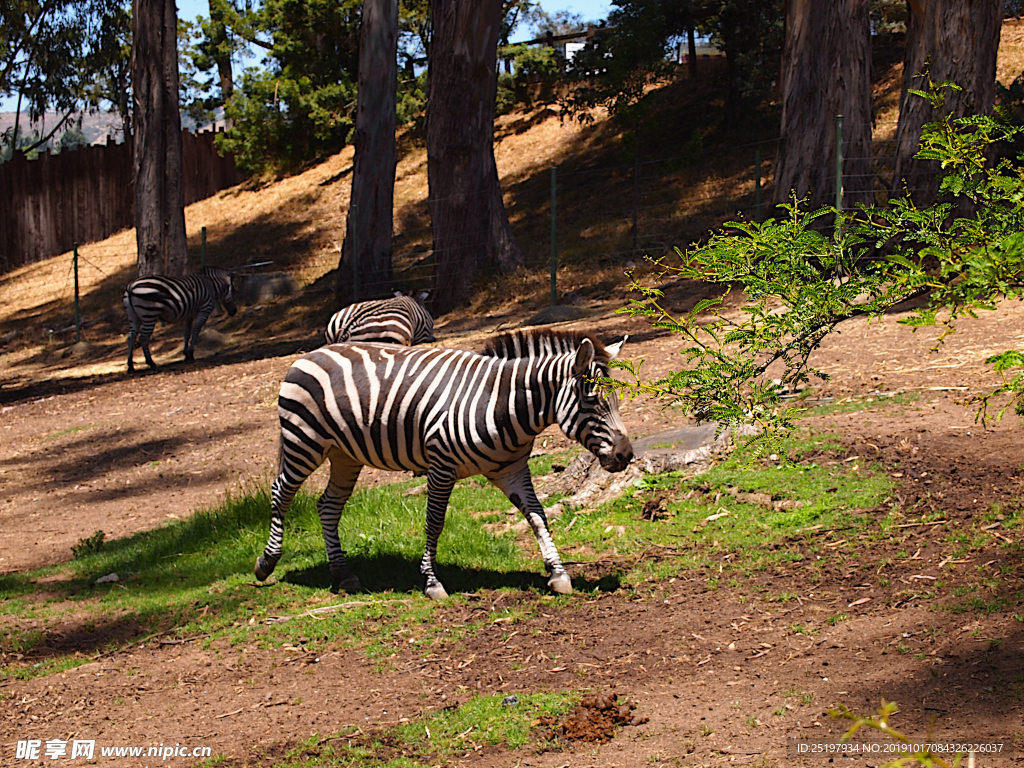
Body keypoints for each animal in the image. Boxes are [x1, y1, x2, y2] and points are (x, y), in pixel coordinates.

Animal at [253, 327, 630, 598]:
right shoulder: (441, 466)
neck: (502, 404)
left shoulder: (511, 470)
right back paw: (266, 563)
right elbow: (434, 523)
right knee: (280, 493)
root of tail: (312, 353)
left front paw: (558, 573)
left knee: (328, 505)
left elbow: (538, 517)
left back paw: (343, 574)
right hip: (304, 443)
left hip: (345, 455)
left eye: (616, 398)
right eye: (592, 400)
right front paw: (432, 582)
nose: (626, 455)